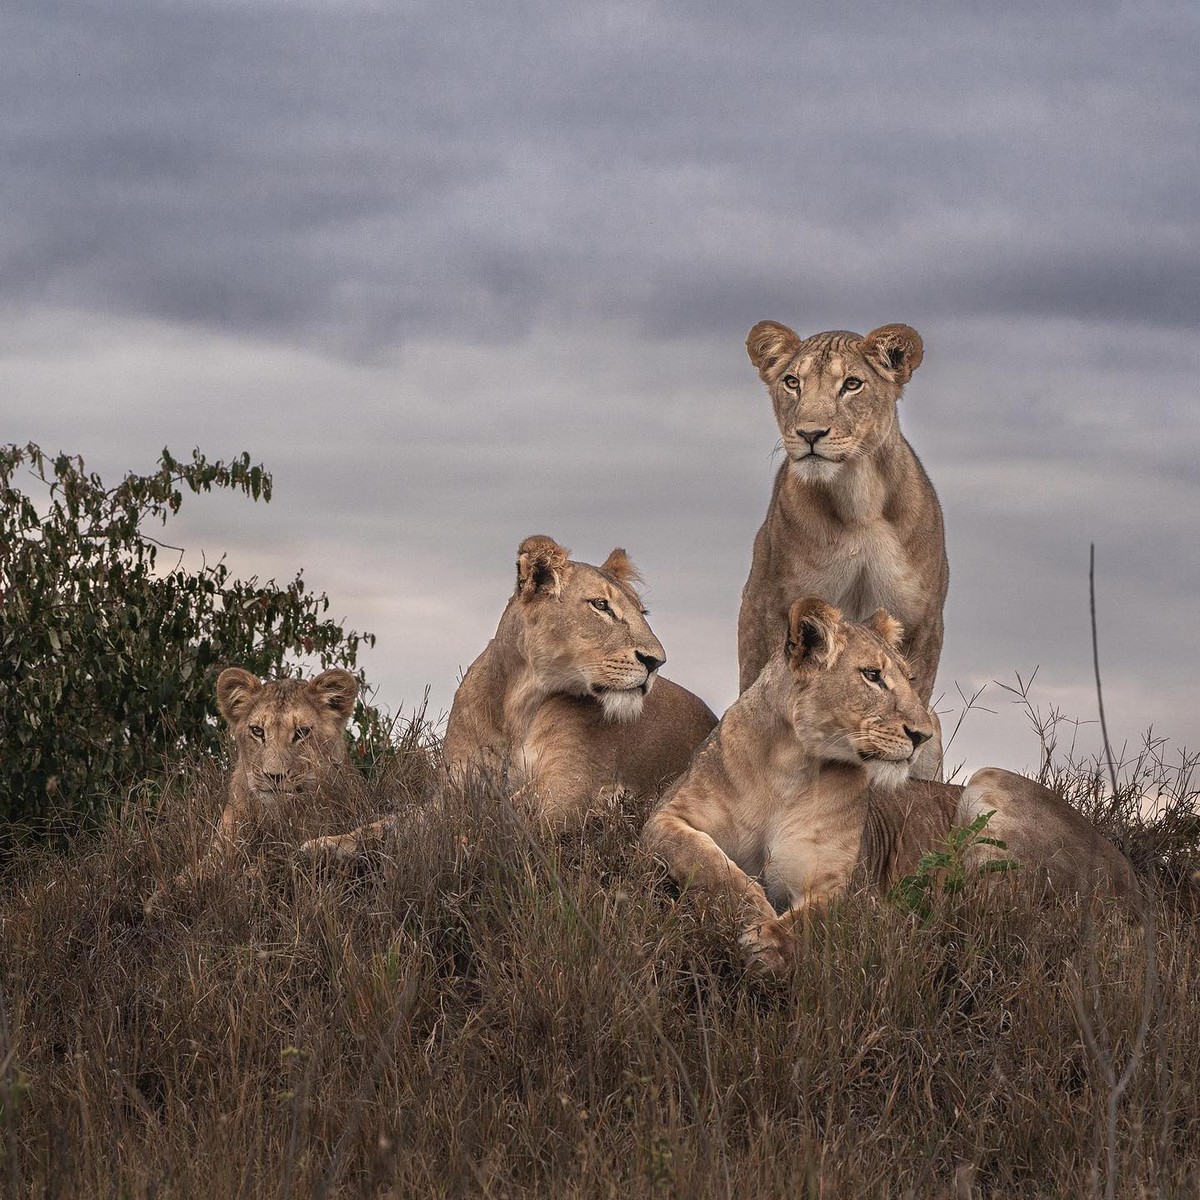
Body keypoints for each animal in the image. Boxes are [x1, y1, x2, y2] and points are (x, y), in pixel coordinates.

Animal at [142, 667, 352, 907]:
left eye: (301, 733)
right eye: (258, 731)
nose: (274, 775)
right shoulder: (223, 844)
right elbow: (194, 875)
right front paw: (160, 900)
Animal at [300, 535, 715, 854]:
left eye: (642, 612)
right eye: (601, 605)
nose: (656, 661)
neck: (516, 705)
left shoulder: (568, 789)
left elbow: (489, 820)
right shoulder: (455, 787)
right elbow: (398, 821)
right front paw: (325, 845)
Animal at [643, 597, 1128, 974]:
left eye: (910, 679)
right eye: (872, 676)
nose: (923, 735)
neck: (789, 765)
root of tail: (1137, 885)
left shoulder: (846, 882)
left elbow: (817, 917)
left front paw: (766, 944)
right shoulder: (664, 818)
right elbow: (709, 862)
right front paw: (751, 911)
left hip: (991, 782)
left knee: (993, 915)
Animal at [739, 324, 945, 782]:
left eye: (852, 384)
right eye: (792, 382)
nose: (809, 434)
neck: (858, 500)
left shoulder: (922, 620)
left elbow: (914, 692)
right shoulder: (772, 605)